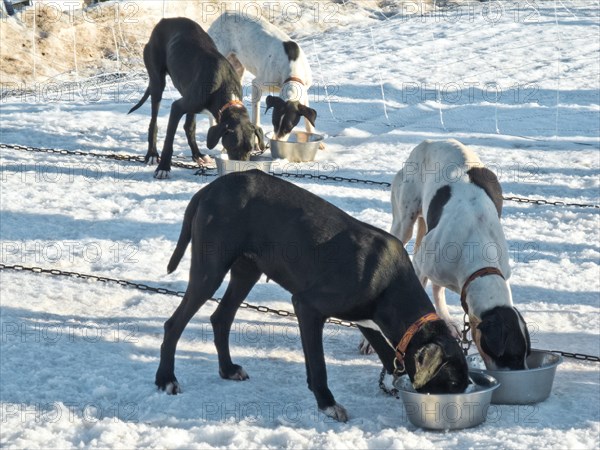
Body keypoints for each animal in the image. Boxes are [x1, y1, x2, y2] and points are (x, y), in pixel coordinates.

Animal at [129, 17, 264, 179]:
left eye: (250, 149)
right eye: (233, 147)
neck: (225, 87)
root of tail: (165, 20)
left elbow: (189, 127)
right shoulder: (177, 108)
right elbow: (169, 141)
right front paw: (163, 168)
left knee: (189, 126)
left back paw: (197, 155)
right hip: (157, 83)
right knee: (153, 122)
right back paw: (152, 154)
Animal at [156, 170, 468, 422]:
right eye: (452, 386)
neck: (390, 282)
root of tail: (209, 188)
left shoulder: (367, 320)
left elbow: (387, 354)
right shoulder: (307, 306)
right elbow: (318, 366)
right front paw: (327, 404)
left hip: (247, 271)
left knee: (220, 318)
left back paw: (227, 369)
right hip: (210, 271)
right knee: (174, 324)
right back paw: (166, 379)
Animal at [207, 12, 318, 142]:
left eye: (288, 127)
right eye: (274, 123)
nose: (276, 141)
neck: (292, 69)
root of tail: (226, 13)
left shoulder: (304, 93)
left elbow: (309, 124)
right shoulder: (256, 85)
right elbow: (256, 120)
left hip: (237, 69)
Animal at [360, 140, 528, 370]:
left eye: (526, 355)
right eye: (511, 357)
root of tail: (428, 142)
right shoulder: (421, 265)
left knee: (438, 287)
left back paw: (447, 320)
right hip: (404, 223)